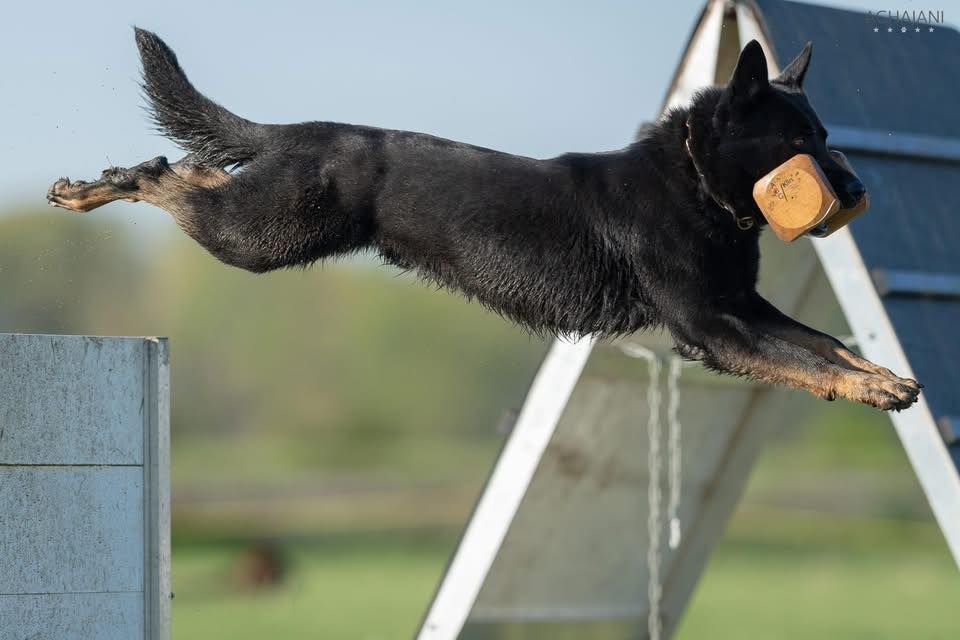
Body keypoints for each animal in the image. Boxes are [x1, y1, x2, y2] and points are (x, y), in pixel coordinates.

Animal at [48, 28, 920, 410]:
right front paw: (869, 388)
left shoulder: (741, 307)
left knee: (193, 171)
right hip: (261, 238)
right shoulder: (712, 326)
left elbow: (822, 342)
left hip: (258, 222)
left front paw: (879, 376)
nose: (856, 187)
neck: (697, 182)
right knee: (167, 178)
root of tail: (300, 130)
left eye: (827, 135)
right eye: (800, 141)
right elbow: (801, 357)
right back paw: (98, 187)